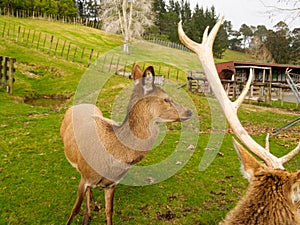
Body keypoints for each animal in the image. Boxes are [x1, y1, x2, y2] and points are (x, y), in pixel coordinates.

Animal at [60, 64, 192, 224]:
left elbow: (109, 211)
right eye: (166, 99)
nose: (190, 112)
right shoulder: (85, 177)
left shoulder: (111, 184)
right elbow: (74, 210)